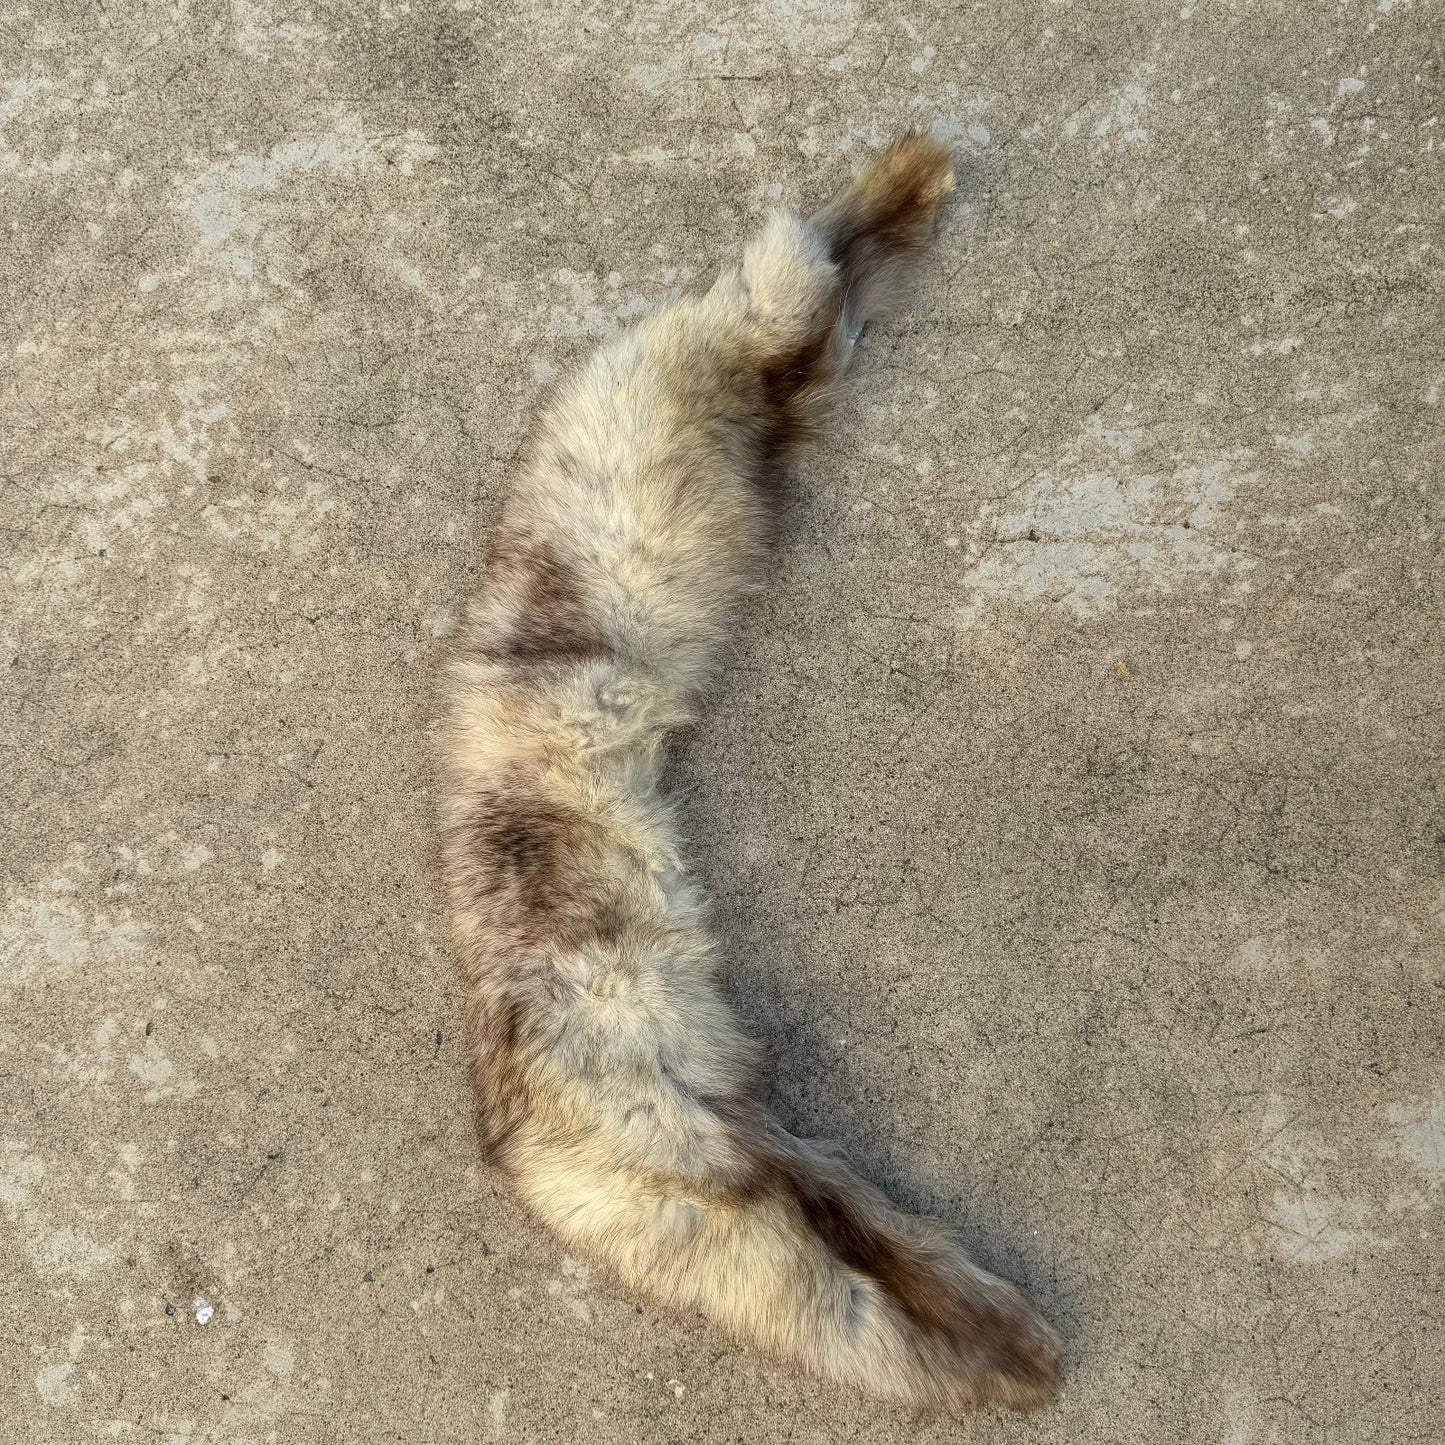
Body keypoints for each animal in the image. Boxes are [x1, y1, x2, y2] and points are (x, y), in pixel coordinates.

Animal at [435, 133, 1062, 1414]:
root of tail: (523, 1142)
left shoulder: (779, 371)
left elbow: (835, 272)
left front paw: (904, 190)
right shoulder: (783, 345)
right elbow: (832, 261)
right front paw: (911, 183)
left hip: (740, 1143)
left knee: (859, 1240)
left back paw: (1006, 1336)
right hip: (716, 1154)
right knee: (849, 1257)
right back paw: (1017, 1347)